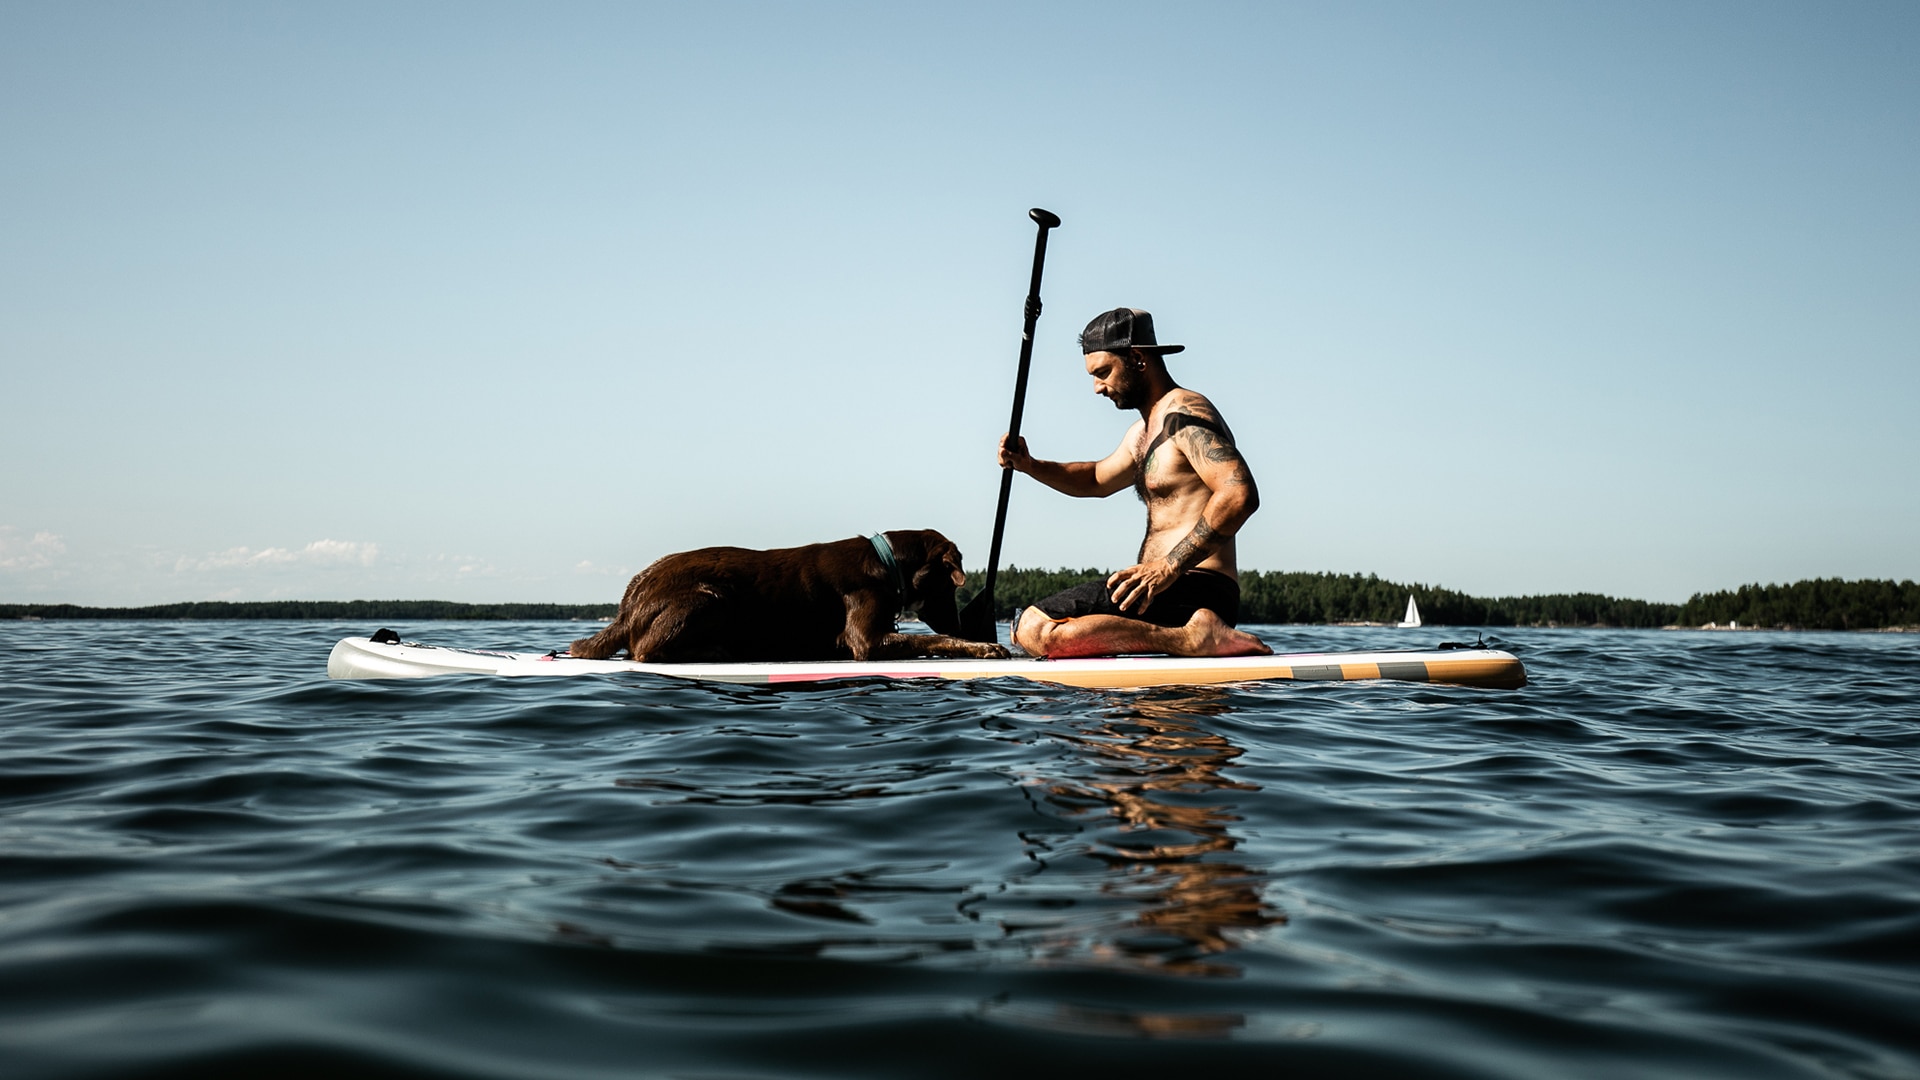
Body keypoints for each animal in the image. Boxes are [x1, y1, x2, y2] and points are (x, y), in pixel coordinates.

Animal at [564, 526, 1013, 661]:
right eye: (950, 586)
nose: (965, 623)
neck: (889, 564)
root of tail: (626, 605)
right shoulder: (866, 640)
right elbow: (933, 640)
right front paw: (983, 647)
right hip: (709, 596)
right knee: (645, 651)